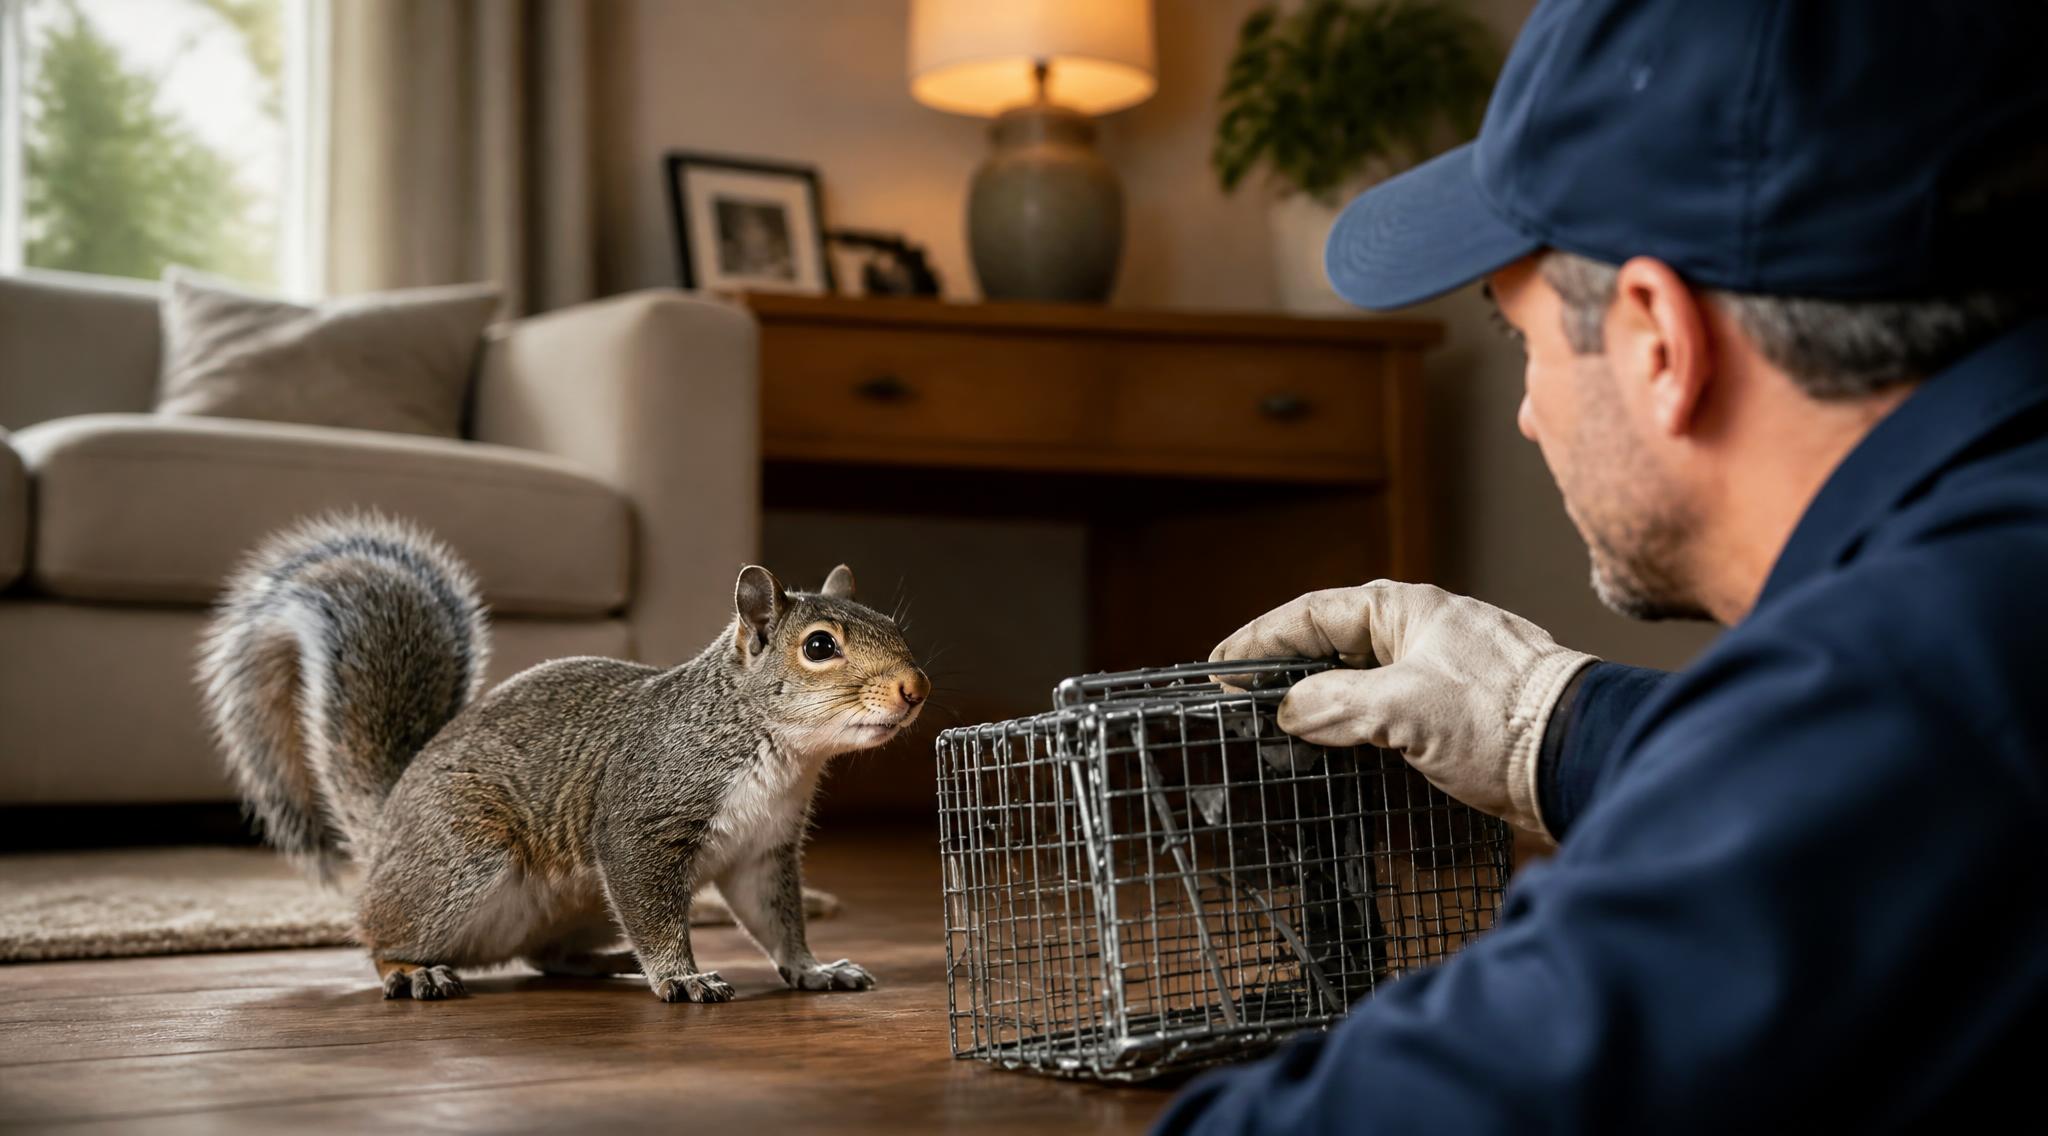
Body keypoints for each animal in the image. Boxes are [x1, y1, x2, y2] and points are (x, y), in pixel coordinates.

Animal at [196, 511, 927, 1002]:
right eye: (819, 646)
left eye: (894, 627)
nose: (915, 688)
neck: (778, 753)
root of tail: (388, 829)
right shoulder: (641, 822)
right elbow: (656, 911)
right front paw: (682, 977)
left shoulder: (764, 849)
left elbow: (776, 919)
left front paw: (813, 968)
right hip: (463, 860)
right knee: (379, 934)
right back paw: (411, 970)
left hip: (576, 906)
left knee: (546, 956)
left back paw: (608, 963)